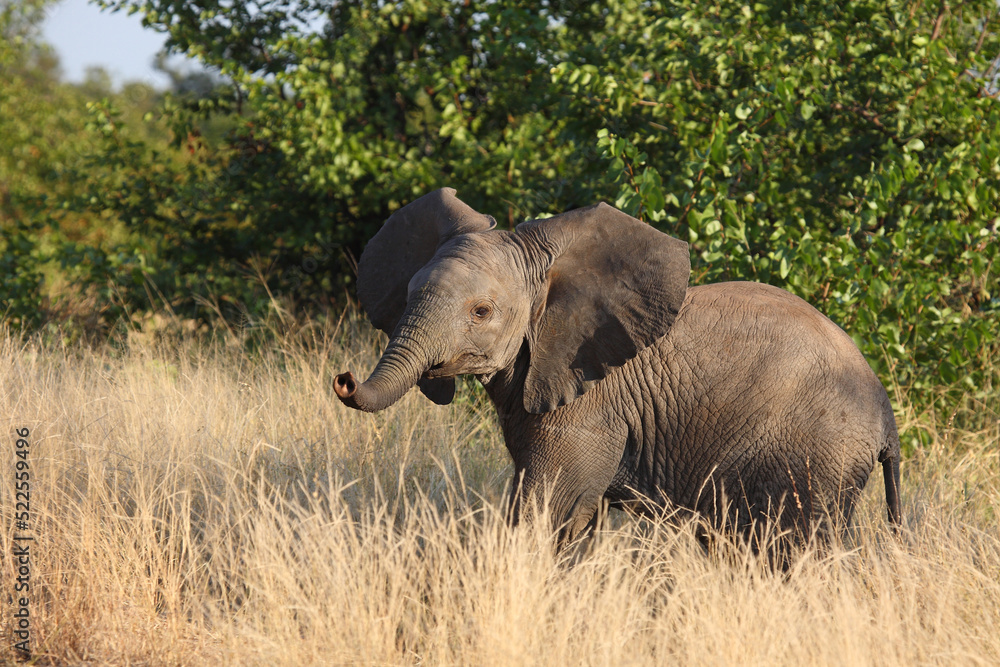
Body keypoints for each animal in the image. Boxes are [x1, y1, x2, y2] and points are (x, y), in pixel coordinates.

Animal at [334, 188, 902, 548]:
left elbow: (551, 508)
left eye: (481, 312)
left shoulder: (589, 405)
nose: (343, 380)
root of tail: (887, 418)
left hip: (818, 457)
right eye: (409, 293)